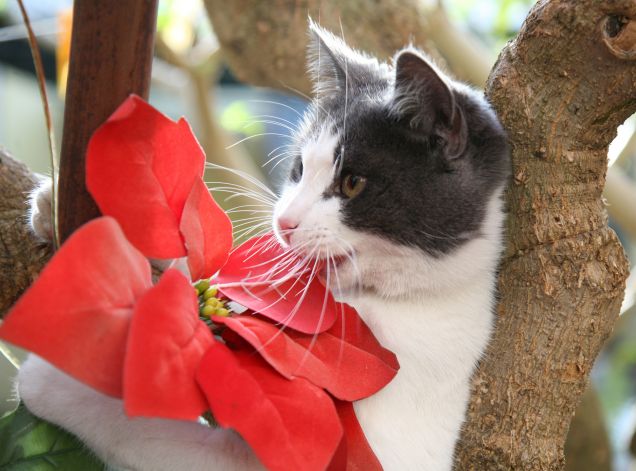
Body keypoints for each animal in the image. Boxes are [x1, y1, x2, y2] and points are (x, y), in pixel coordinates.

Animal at [17, 22, 510, 471]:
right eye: (299, 170)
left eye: (352, 183)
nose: (284, 222)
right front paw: (62, 205)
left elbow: (154, 434)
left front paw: (50, 381)